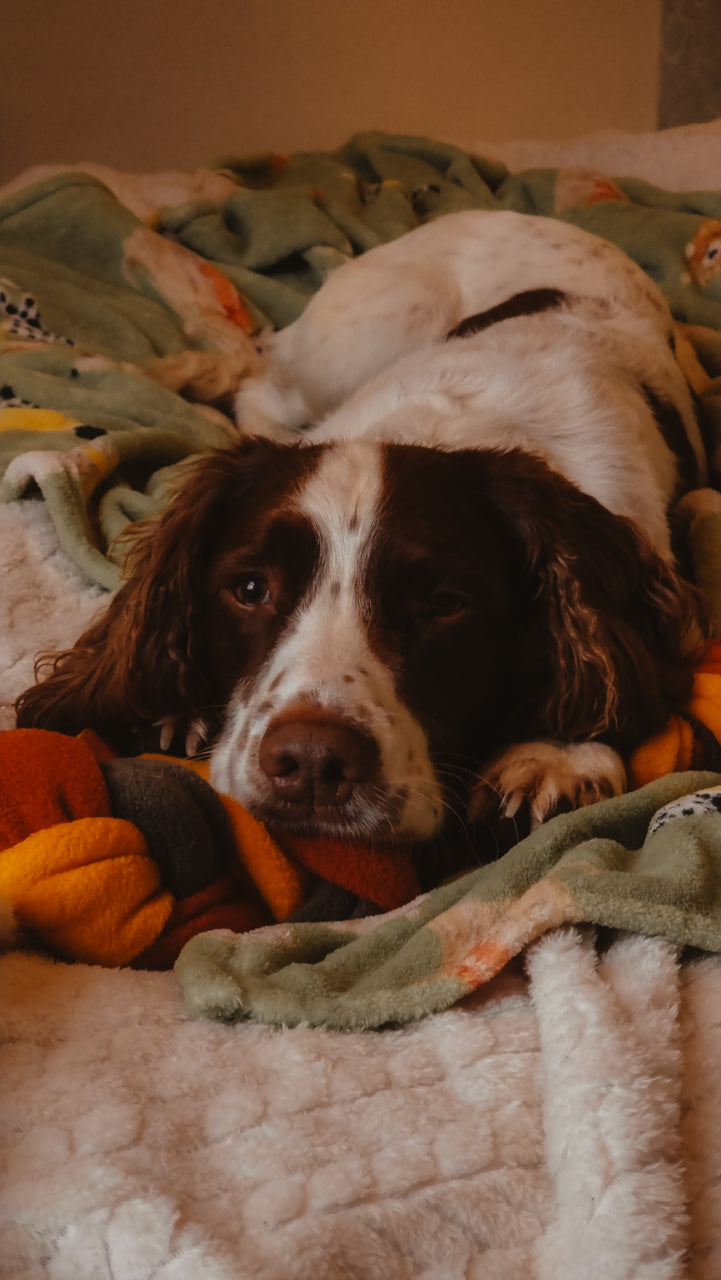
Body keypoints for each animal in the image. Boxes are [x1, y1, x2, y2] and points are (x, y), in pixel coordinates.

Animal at [14, 209, 706, 849]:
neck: (452, 425)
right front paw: (173, 699)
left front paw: (554, 753)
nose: (312, 763)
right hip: (365, 337)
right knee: (257, 382)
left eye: (445, 604)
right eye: (250, 588)